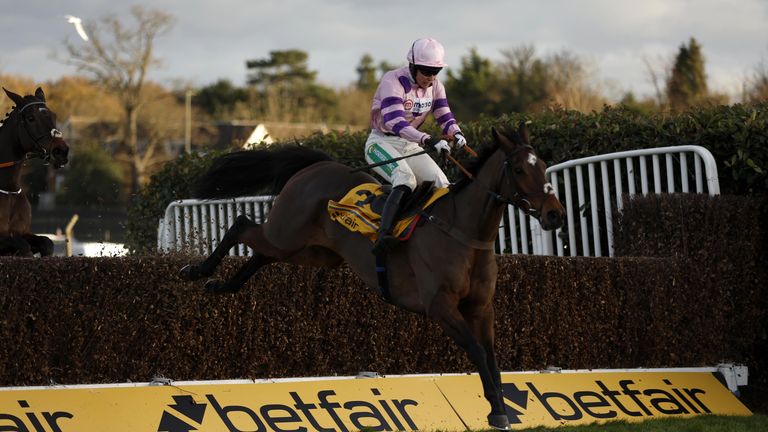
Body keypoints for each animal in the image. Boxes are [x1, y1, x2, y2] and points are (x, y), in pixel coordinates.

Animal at [0, 88, 70, 256]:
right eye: (31, 118)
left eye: (53, 115)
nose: (61, 151)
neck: (8, 189)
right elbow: (22, 246)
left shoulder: (23, 231)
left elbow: (47, 243)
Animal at [180, 121, 564, 428]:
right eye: (518, 169)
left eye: (544, 166)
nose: (555, 215)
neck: (463, 231)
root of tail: (317, 166)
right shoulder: (440, 307)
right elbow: (478, 353)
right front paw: (498, 413)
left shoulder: (482, 309)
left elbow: (493, 359)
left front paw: (501, 407)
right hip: (286, 233)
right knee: (241, 225)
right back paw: (196, 270)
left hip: (312, 252)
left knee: (261, 254)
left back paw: (222, 285)